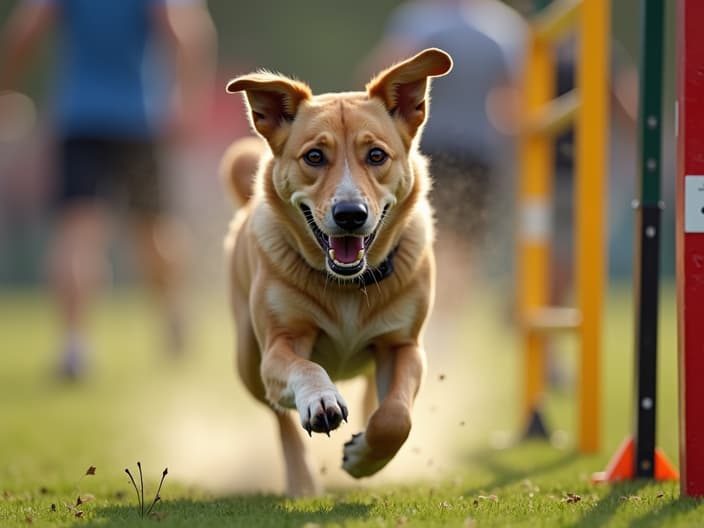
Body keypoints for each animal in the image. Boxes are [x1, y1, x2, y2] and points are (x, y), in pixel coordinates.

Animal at [223, 48, 454, 496]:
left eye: (376, 155)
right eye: (315, 156)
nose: (350, 214)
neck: (348, 285)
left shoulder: (403, 344)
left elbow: (396, 416)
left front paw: (363, 457)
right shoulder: (279, 343)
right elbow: (305, 368)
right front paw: (321, 400)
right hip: (247, 359)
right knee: (280, 417)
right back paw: (302, 481)